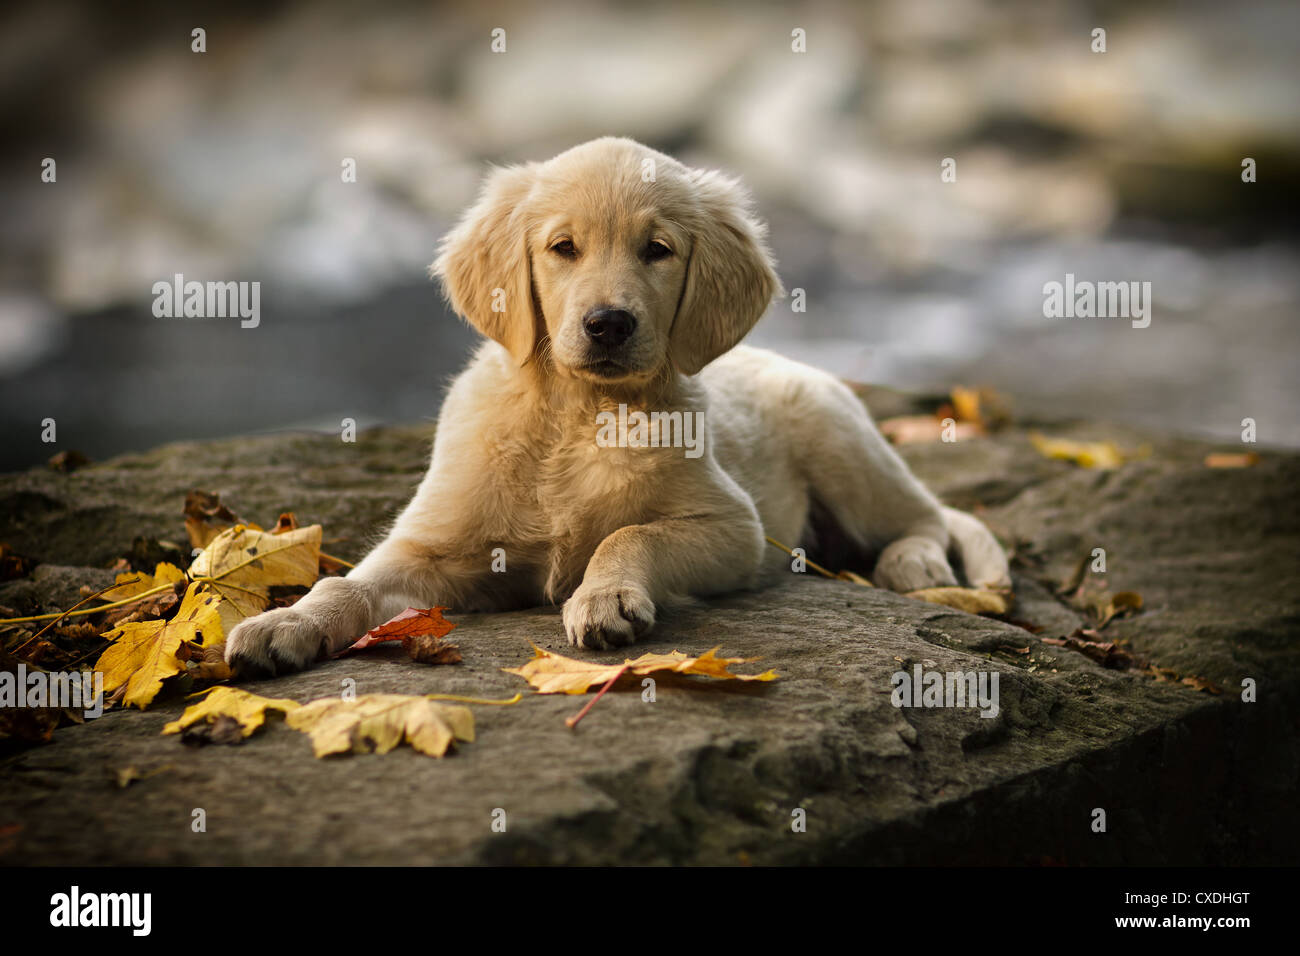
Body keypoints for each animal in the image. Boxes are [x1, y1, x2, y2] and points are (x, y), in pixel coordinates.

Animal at [228, 136, 1008, 671]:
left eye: (656, 250)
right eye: (563, 247)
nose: (609, 324)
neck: (579, 415)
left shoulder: (737, 529)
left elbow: (628, 533)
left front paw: (604, 598)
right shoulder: (433, 544)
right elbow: (346, 583)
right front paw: (284, 625)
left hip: (842, 445)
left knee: (928, 517)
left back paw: (916, 565)